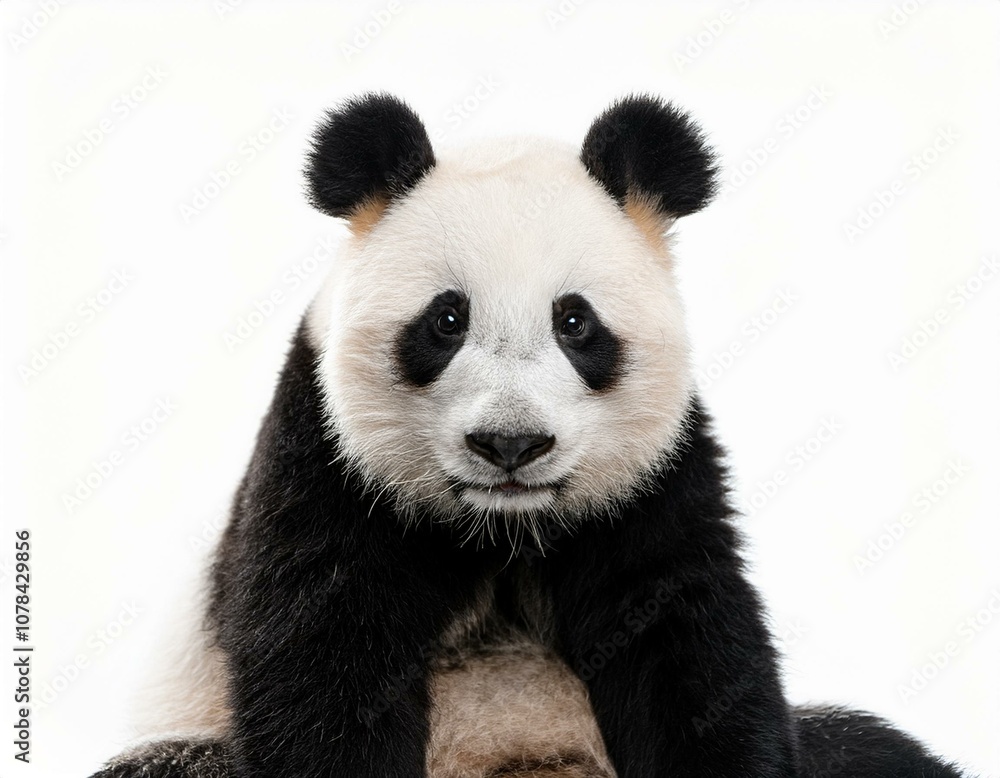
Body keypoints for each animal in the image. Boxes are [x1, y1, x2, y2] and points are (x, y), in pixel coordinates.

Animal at [91, 93, 965, 778]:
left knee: (871, 750)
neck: (506, 527)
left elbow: (691, 652)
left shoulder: (656, 480)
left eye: (575, 322)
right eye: (446, 320)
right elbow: (324, 657)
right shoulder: (328, 461)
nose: (510, 446)